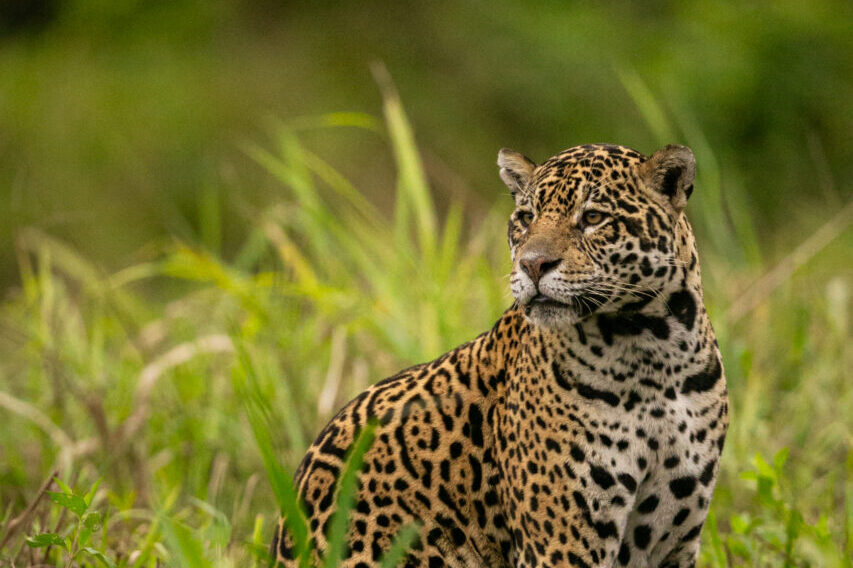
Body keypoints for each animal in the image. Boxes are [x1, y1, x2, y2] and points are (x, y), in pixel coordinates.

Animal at [271, 143, 728, 567]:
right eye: (526, 219)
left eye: (594, 218)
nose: (533, 265)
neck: (650, 353)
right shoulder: (560, 545)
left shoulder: (674, 541)